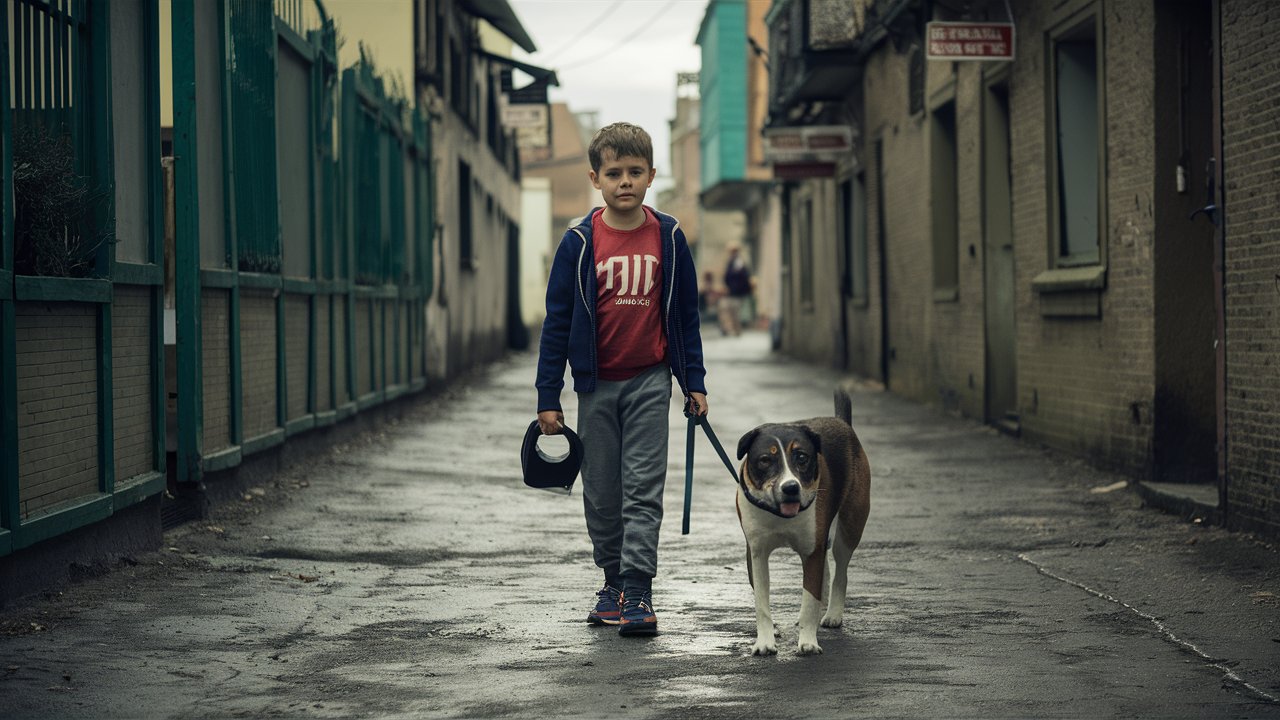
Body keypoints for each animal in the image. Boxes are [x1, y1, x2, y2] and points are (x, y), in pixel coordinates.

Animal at [737, 389, 875, 653]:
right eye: (765, 460)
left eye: (801, 457)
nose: (791, 487)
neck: (779, 514)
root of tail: (841, 422)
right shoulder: (757, 553)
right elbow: (761, 602)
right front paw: (765, 641)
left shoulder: (811, 551)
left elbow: (810, 599)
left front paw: (808, 642)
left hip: (850, 527)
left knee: (840, 571)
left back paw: (832, 614)